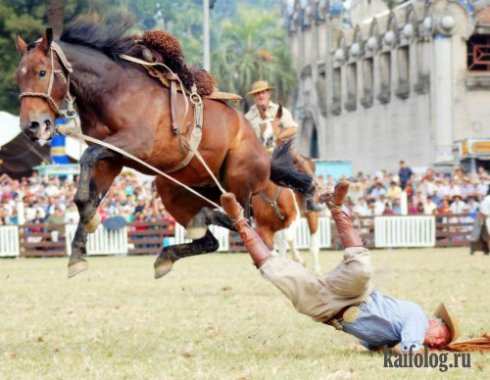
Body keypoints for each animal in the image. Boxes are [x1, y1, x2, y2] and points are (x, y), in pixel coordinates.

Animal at [15, 20, 316, 278]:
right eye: (19, 77)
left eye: (42, 72)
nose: (32, 125)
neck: (115, 91)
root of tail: (264, 155)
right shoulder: (111, 159)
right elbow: (87, 192)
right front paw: (79, 250)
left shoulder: (135, 145)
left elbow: (87, 158)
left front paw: (88, 225)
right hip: (174, 190)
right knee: (211, 238)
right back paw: (170, 252)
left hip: (237, 182)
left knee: (241, 220)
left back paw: (205, 220)